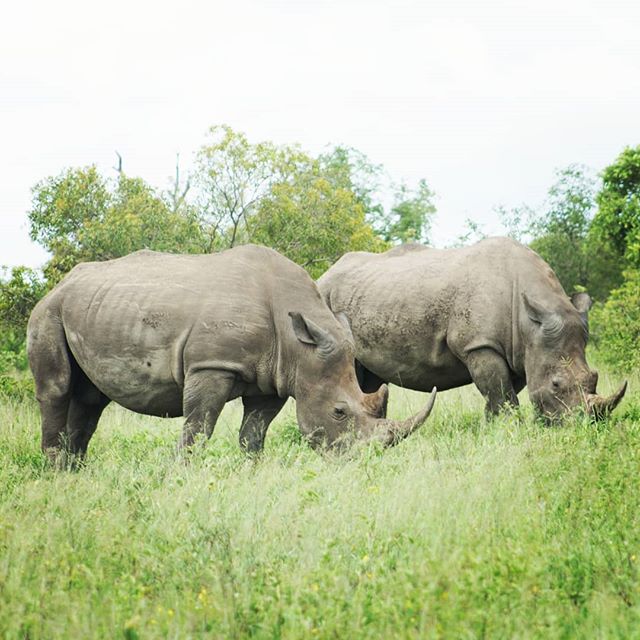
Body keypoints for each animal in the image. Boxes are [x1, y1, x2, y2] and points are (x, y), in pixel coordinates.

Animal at [27, 245, 436, 463]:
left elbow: (253, 435)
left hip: (90, 309)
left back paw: (75, 472)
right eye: (339, 412)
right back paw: (56, 474)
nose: (361, 460)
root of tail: (59, 284)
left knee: (90, 400)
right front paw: (182, 477)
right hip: (48, 313)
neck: (300, 345)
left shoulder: (276, 377)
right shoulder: (212, 365)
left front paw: (250, 472)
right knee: (57, 390)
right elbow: (198, 428)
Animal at [317, 237, 626, 420]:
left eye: (594, 378)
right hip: (326, 299)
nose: (587, 424)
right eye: (556, 384)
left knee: (368, 379)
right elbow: (501, 393)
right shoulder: (478, 344)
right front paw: (508, 429)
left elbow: (501, 393)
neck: (528, 322)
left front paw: (493, 426)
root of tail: (324, 275)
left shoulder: (515, 349)